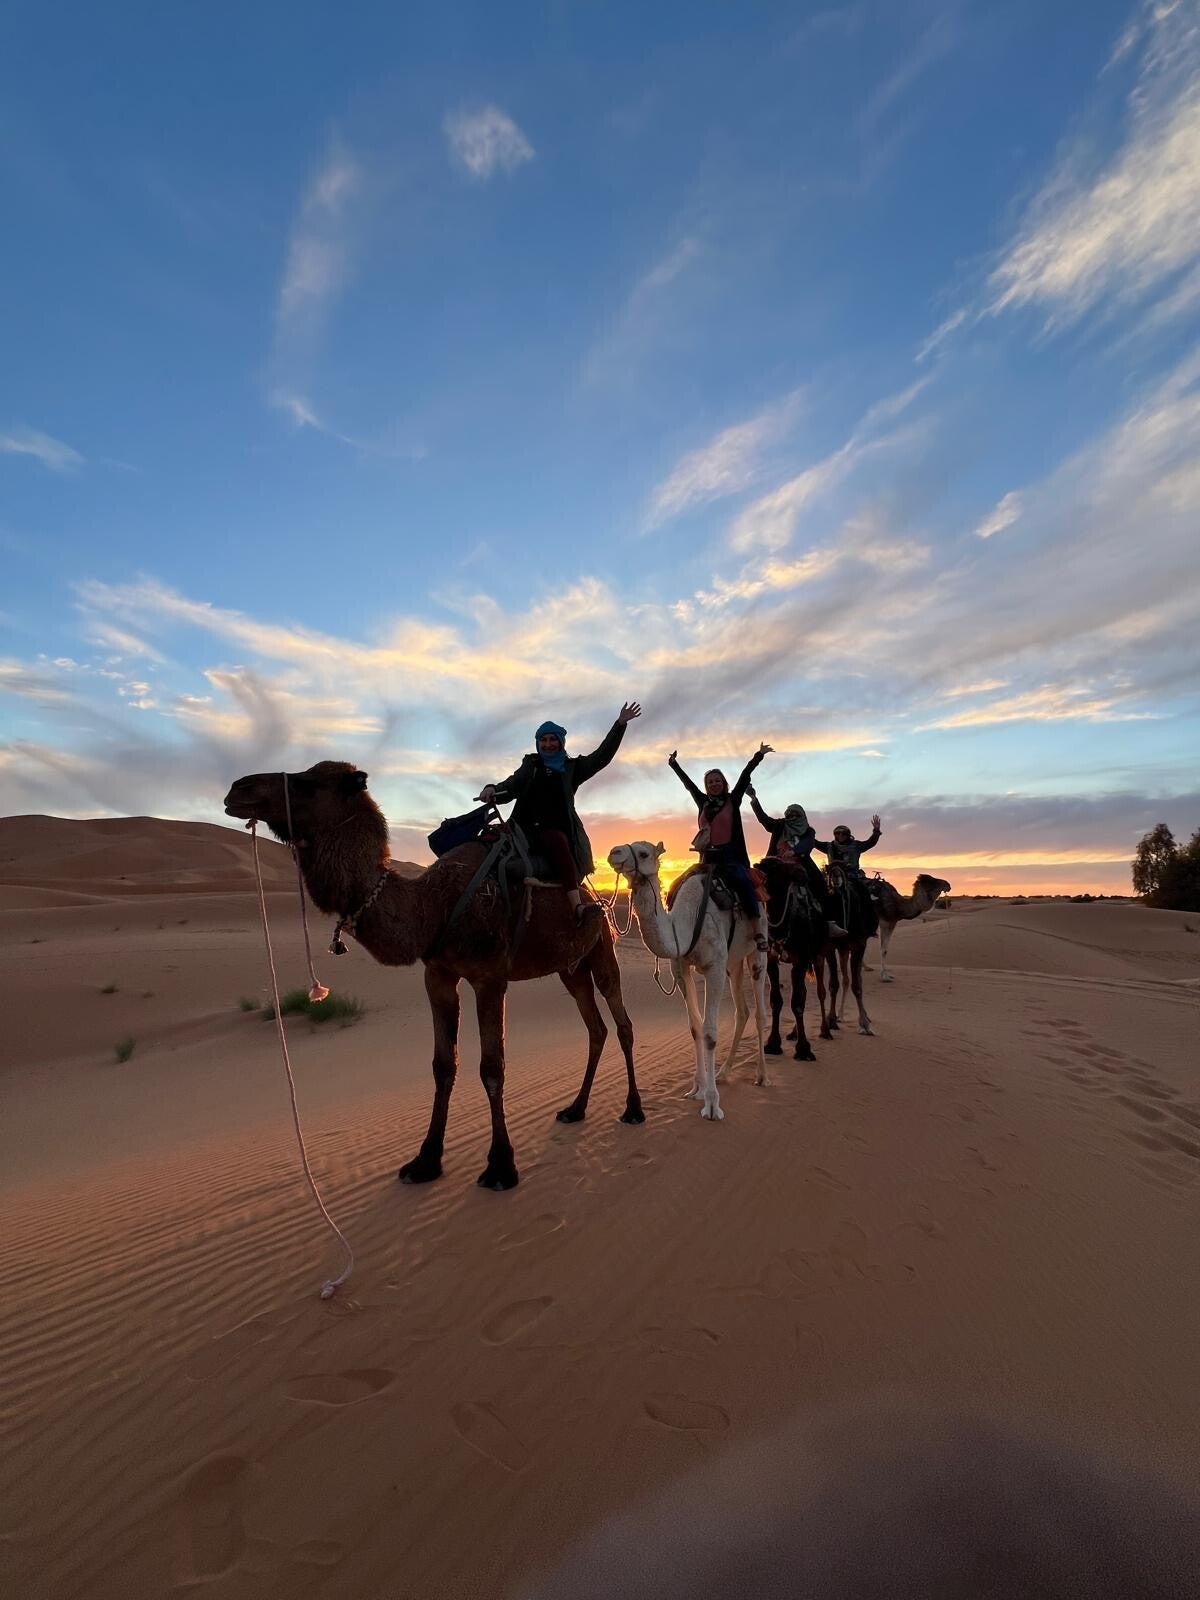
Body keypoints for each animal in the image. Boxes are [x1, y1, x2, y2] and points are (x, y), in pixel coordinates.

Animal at [224, 763, 643, 1192]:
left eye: (306, 783)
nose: (238, 789)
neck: (432, 907)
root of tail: (594, 897)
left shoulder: (490, 977)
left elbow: (492, 1068)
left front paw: (500, 1167)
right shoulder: (437, 976)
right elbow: (443, 1065)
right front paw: (424, 1161)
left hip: (602, 947)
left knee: (621, 1021)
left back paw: (633, 1109)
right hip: (569, 968)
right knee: (595, 1028)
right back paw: (575, 1109)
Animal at [607, 843, 769, 1121]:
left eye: (644, 853)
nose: (614, 852)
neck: (687, 923)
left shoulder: (714, 966)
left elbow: (710, 1032)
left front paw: (712, 1105)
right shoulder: (681, 968)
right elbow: (695, 1028)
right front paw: (697, 1089)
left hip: (757, 950)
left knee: (759, 1012)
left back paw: (761, 1075)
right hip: (733, 961)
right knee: (742, 1011)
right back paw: (724, 1072)